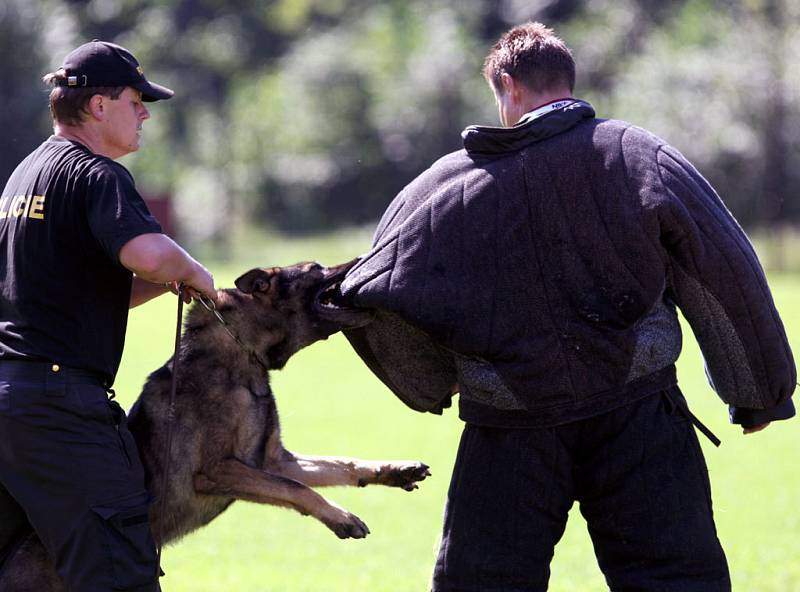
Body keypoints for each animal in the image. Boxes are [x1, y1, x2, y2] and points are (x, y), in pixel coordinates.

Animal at [0, 262, 432, 588]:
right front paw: (340, 517)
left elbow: (339, 465)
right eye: (316, 269)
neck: (241, 352)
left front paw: (394, 471)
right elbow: (295, 488)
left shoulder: (274, 461)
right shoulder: (219, 470)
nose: (360, 260)